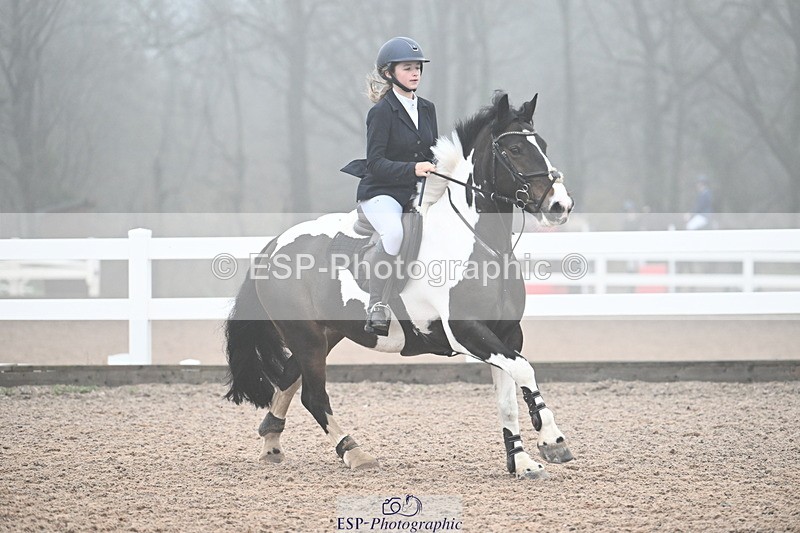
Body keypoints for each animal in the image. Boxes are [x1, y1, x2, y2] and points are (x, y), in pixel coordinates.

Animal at [224, 92, 575, 479]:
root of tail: (273, 246)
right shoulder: (467, 332)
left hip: (326, 334)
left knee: (288, 378)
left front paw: (522, 460)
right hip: (306, 336)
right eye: (515, 149)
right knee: (313, 396)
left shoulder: (506, 333)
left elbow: (508, 397)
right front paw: (552, 441)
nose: (560, 205)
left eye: (542, 145)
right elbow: (524, 369)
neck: (479, 241)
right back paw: (355, 453)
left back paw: (272, 443)